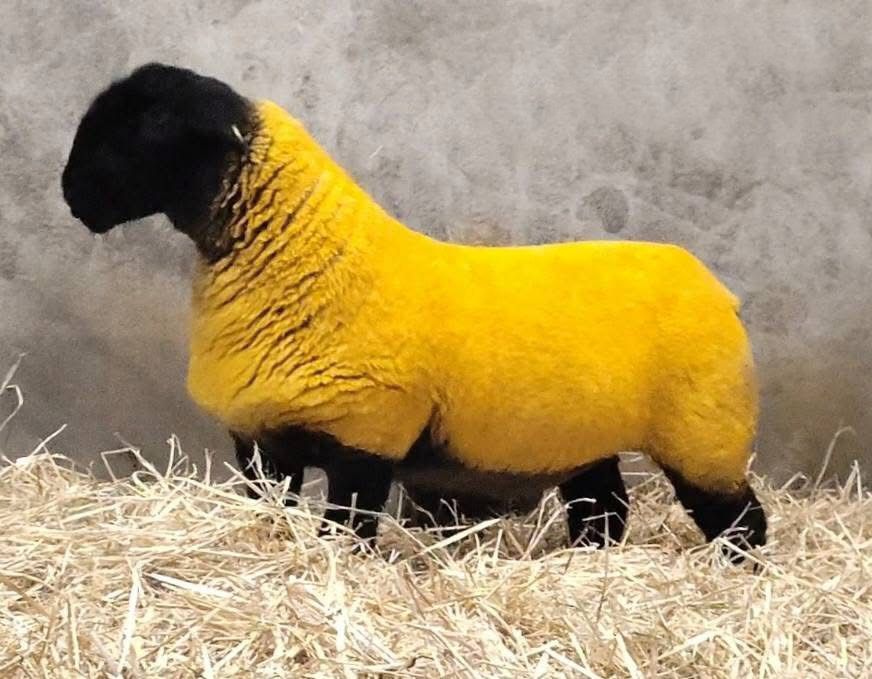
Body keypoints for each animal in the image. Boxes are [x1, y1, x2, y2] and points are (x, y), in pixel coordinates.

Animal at [61, 63, 767, 560]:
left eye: (147, 127)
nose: (71, 197)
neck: (302, 255)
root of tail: (712, 283)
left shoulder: (366, 436)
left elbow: (347, 530)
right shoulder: (264, 442)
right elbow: (276, 511)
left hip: (705, 430)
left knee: (741, 520)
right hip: (586, 436)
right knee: (604, 509)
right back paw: (587, 566)